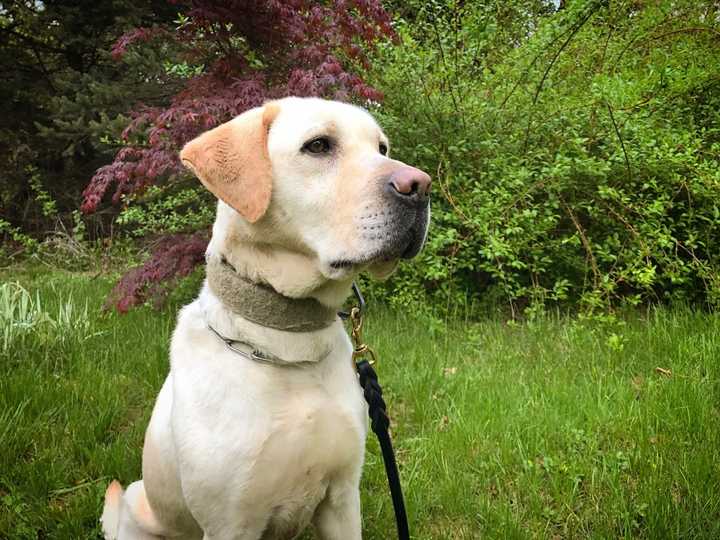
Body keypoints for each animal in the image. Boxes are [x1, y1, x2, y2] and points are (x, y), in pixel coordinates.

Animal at [99, 98, 430, 540]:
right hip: (140, 503)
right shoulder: (230, 523)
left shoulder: (343, 498)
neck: (288, 338)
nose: (421, 185)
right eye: (318, 145)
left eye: (382, 148)